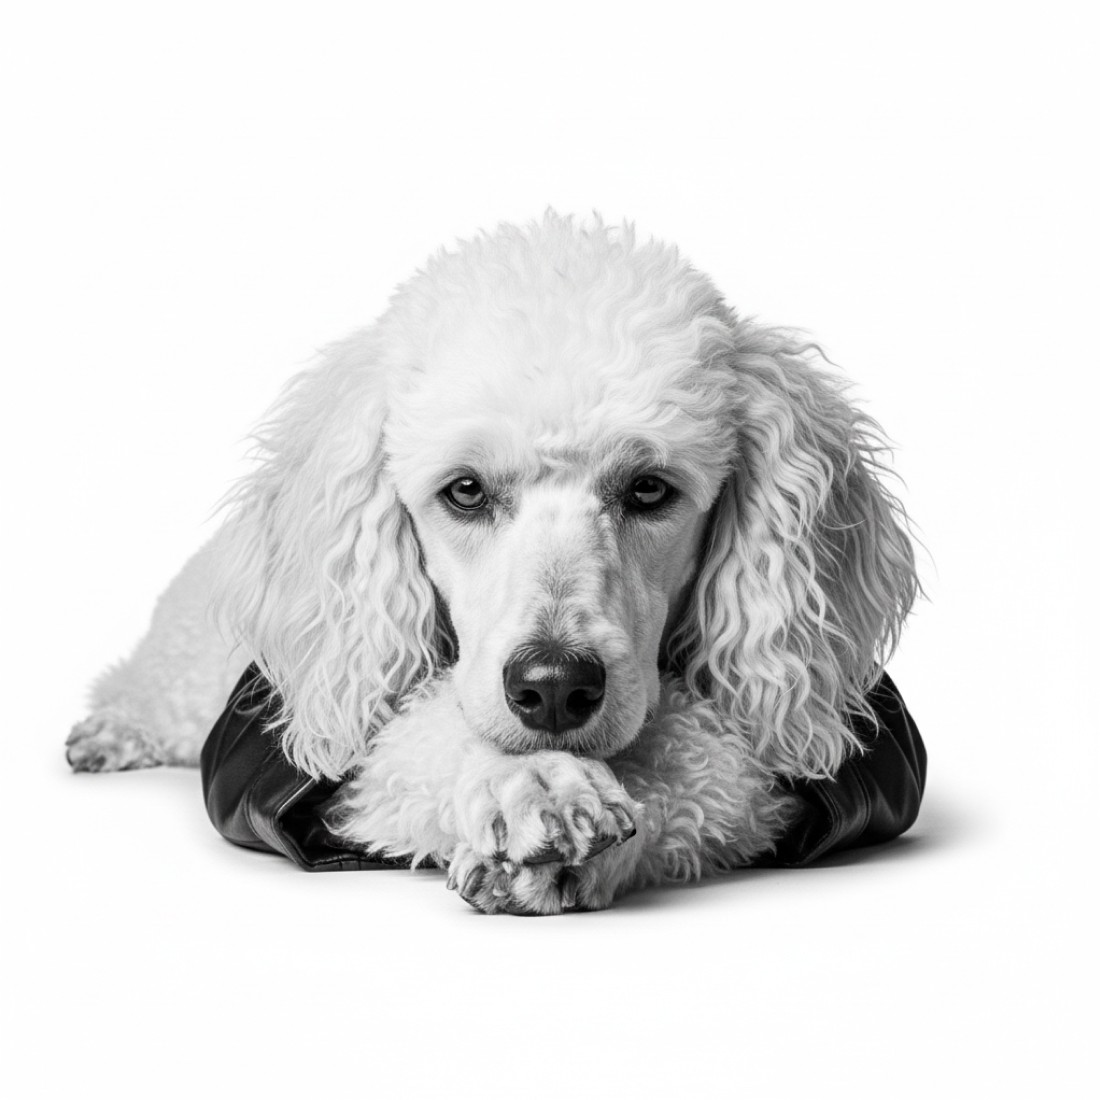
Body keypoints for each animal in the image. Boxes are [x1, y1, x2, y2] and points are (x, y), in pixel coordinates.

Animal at [67, 213, 919, 913]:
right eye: (465, 490)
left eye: (650, 488)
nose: (555, 688)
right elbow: (409, 737)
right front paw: (525, 783)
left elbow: (705, 756)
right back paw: (111, 731)